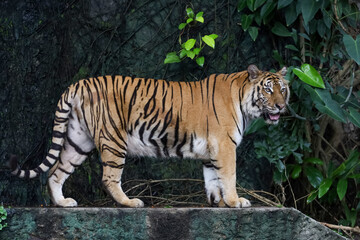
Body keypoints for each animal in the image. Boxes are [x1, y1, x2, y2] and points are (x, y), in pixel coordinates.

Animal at [9, 64, 290, 207]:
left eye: (283, 90)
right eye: (268, 90)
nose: (280, 106)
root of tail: (78, 84)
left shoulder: (211, 150)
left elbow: (213, 179)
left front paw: (218, 203)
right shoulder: (224, 145)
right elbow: (229, 176)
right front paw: (235, 201)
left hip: (78, 141)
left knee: (56, 171)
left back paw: (62, 203)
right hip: (113, 139)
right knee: (109, 178)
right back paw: (130, 203)